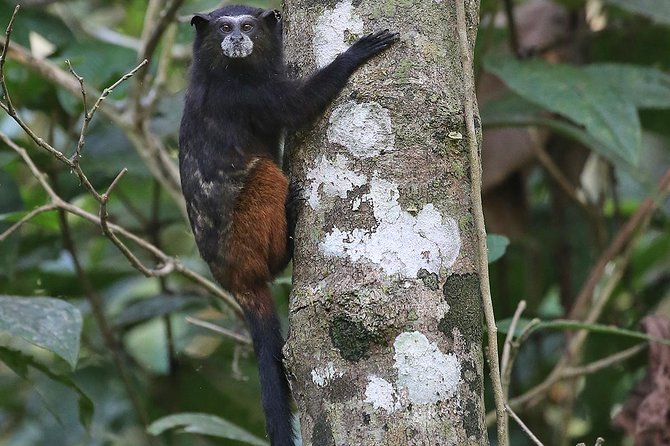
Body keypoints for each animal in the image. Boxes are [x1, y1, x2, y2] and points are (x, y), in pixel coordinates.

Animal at [178, 4, 400, 446]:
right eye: (224, 28)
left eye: (247, 26)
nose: (236, 39)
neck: (222, 70)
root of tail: (235, 279)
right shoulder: (246, 96)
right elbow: (297, 106)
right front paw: (353, 55)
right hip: (246, 228)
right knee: (265, 175)